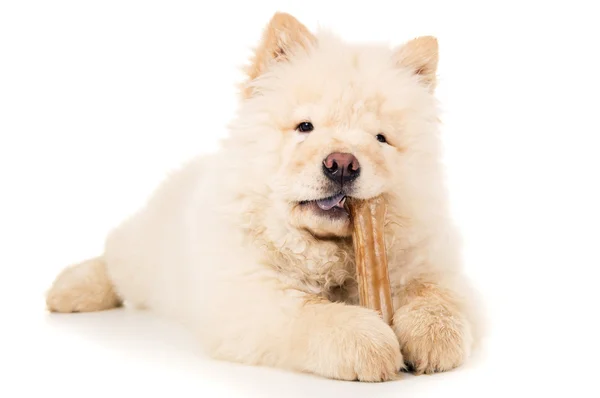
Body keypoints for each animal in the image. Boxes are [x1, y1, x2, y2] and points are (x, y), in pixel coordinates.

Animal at [45, 11, 478, 380]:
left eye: (381, 139)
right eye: (305, 127)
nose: (342, 164)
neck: (330, 253)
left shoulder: (436, 268)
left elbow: (438, 297)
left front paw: (434, 338)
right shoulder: (248, 296)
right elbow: (314, 313)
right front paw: (371, 342)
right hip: (144, 255)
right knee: (114, 259)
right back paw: (68, 291)